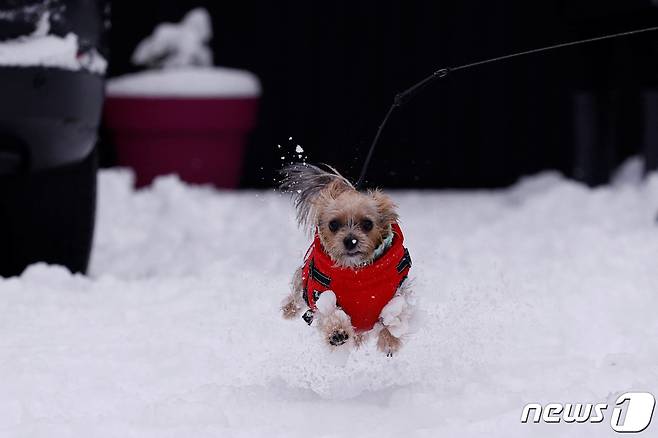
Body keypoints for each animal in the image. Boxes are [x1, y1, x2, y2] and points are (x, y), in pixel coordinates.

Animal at [278, 164, 410, 356]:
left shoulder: (397, 291)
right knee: (296, 293)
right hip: (302, 281)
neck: (357, 275)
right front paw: (337, 332)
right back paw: (289, 309)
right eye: (333, 224)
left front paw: (390, 339)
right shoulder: (320, 295)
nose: (350, 241)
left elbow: (394, 314)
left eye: (368, 224)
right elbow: (330, 313)